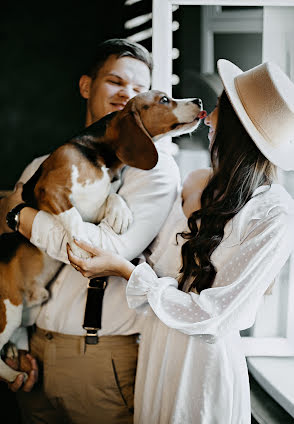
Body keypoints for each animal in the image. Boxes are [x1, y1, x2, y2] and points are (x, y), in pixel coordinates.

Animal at [0, 88, 204, 380]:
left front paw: (120, 212)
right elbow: (73, 217)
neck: (100, 158)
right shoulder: (49, 190)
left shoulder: (95, 207)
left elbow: (110, 195)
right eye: (165, 100)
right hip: (8, 310)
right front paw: (81, 249)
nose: (199, 101)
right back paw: (11, 374)